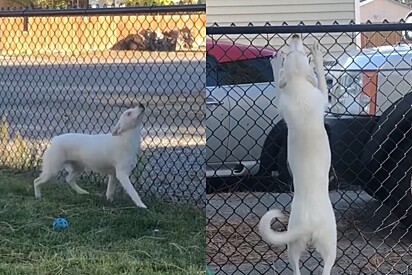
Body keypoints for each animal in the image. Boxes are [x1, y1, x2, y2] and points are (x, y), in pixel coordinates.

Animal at [260, 35, 336, 275]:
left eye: (299, 53)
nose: (295, 36)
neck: (299, 87)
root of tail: (308, 224)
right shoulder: (321, 97)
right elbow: (320, 79)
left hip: (293, 247)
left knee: (296, 269)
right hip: (329, 246)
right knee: (325, 268)